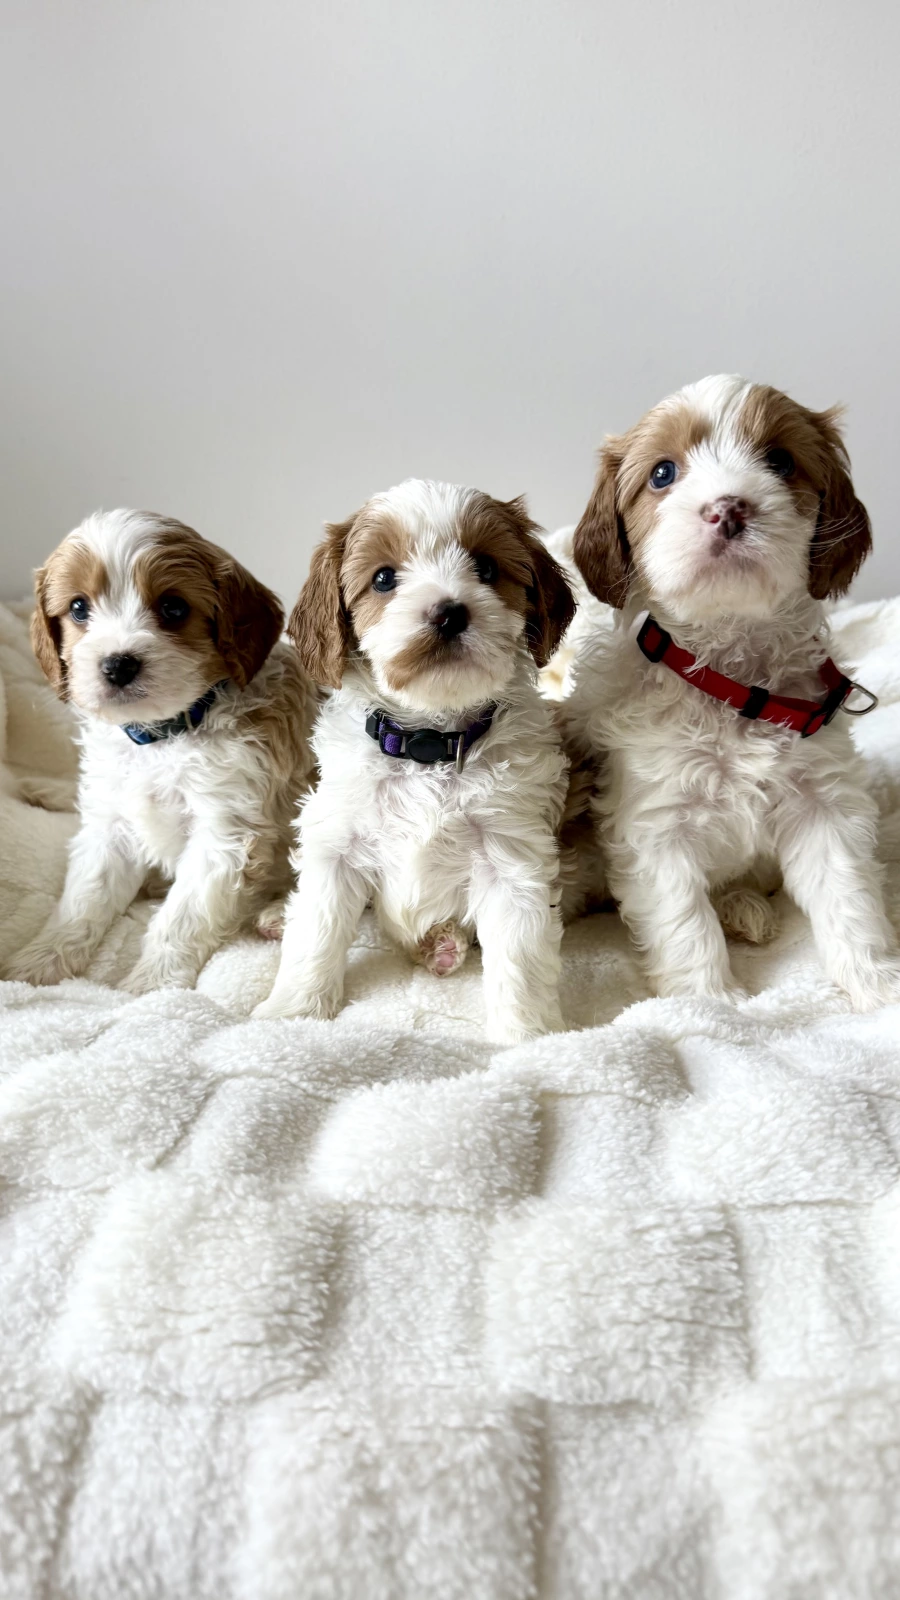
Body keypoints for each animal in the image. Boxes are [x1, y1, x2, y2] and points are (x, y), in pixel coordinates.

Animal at [6, 509, 318, 993]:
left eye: (173, 608)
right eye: (78, 608)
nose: (118, 664)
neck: (164, 735)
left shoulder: (224, 834)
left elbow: (180, 919)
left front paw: (149, 987)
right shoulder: (110, 826)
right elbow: (83, 899)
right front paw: (40, 962)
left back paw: (277, 916)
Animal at [253, 479, 575, 1044]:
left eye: (486, 568)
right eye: (383, 578)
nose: (448, 612)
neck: (429, 743)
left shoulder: (511, 856)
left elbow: (519, 956)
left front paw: (527, 1038)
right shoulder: (337, 842)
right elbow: (316, 930)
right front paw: (293, 1014)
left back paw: (442, 943)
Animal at [561, 374, 899, 1009]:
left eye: (780, 461)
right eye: (663, 473)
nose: (727, 508)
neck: (736, 680)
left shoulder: (822, 806)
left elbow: (848, 897)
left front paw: (878, 983)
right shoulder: (657, 823)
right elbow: (685, 923)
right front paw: (710, 1004)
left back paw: (745, 908)